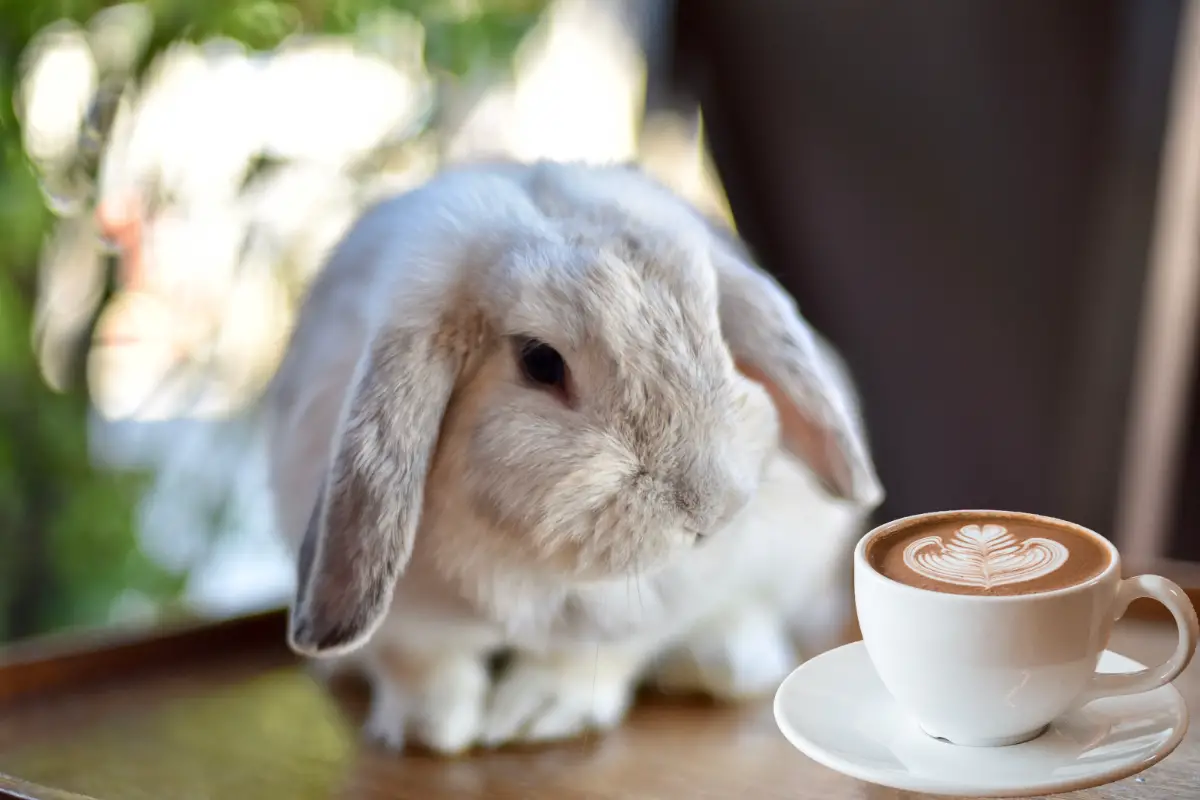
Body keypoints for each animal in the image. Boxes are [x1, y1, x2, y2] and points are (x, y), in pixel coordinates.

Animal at [263, 159, 884, 754]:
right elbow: (421, 664)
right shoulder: (408, 624)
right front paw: (426, 731)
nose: (713, 512)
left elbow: (592, 656)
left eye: (721, 339)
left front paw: (533, 714)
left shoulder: (650, 603)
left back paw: (724, 663)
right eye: (540, 362)